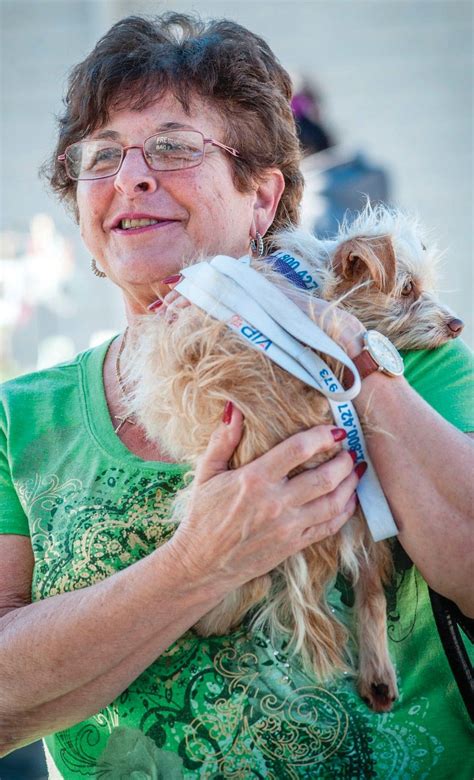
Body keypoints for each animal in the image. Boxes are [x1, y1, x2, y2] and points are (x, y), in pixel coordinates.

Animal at [125, 206, 462, 712]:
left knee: (255, 580)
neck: (309, 281)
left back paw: (208, 620)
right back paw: (378, 675)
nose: (458, 324)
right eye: (407, 290)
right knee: (369, 585)